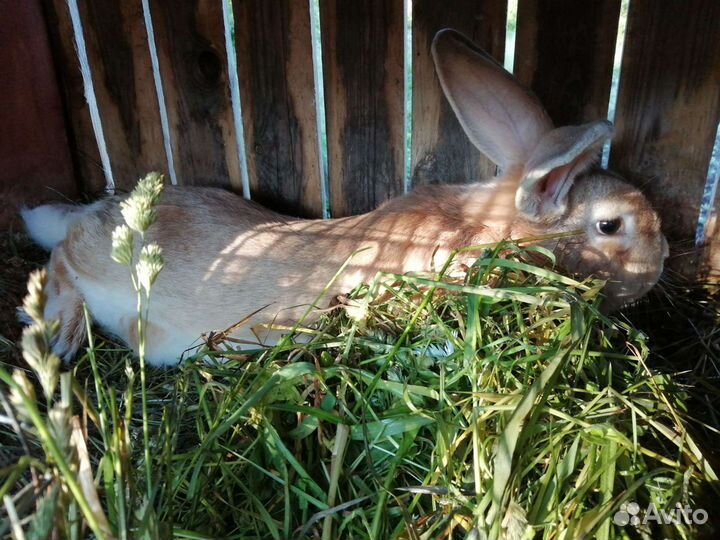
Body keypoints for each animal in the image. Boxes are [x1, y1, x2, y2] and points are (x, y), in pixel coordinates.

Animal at [21, 29, 668, 366]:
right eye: (611, 226)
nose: (661, 264)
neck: (490, 230)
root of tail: (97, 213)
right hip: (99, 264)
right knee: (60, 261)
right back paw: (59, 335)